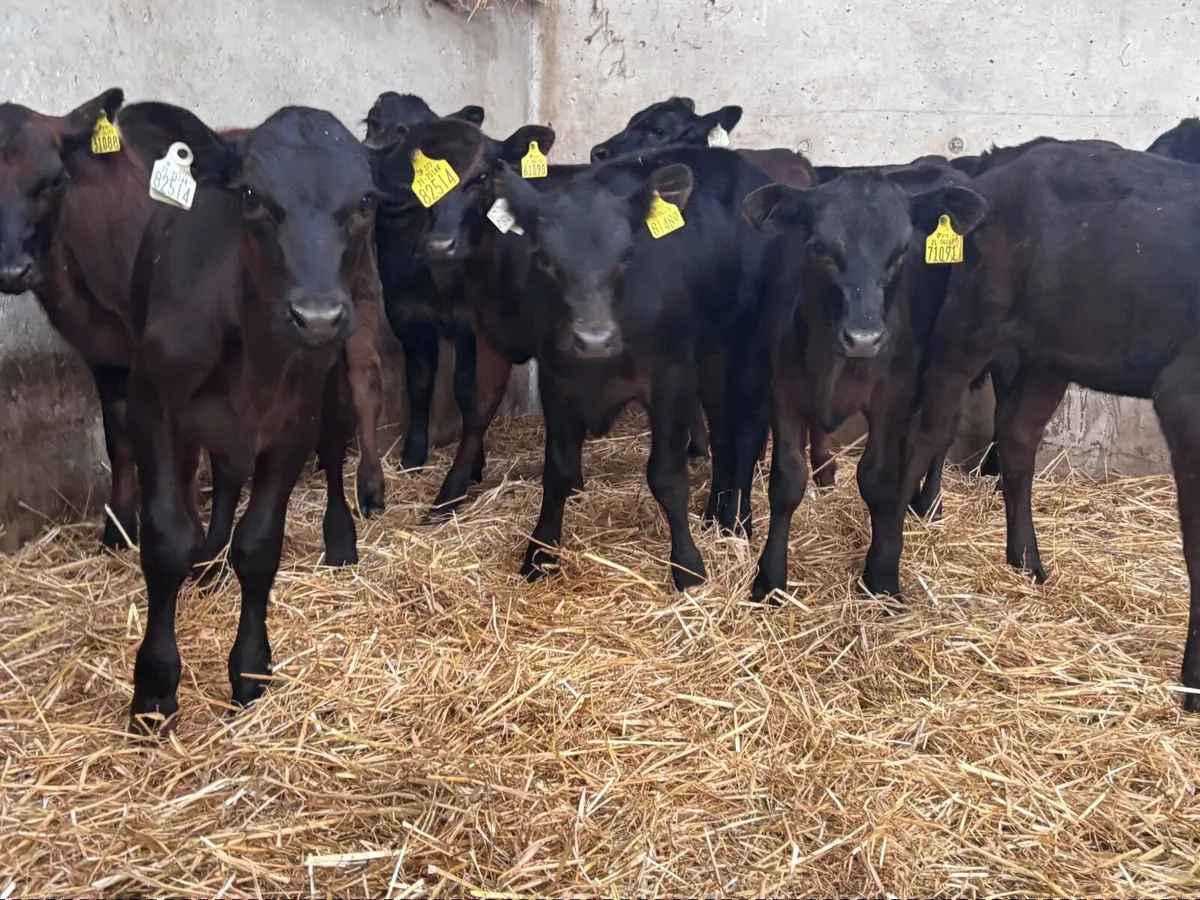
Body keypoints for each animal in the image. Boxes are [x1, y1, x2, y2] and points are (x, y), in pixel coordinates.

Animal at [116, 100, 377, 730]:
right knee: (223, 475)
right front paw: (154, 688)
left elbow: (259, 546)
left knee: (334, 447)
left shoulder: (294, 421)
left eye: (365, 200)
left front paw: (251, 670)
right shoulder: (153, 403)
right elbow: (167, 539)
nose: (316, 316)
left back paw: (339, 537)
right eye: (252, 196)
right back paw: (208, 559)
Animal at [362, 92, 490, 474]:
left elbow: (465, 388)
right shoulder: (409, 320)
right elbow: (418, 389)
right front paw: (413, 455)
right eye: (372, 123)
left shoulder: (468, 324)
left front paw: (474, 461)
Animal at [741, 166, 987, 602]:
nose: (864, 338)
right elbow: (786, 481)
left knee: (941, 432)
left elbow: (879, 479)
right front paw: (769, 578)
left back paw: (928, 503)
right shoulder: (781, 391)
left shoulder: (893, 395)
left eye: (903, 250)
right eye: (819, 247)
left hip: (948, 363)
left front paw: (882, 577)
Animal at [870, 138, 1200, 712]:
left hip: (1052, 350)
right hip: (969, 324)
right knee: (926, 432)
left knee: (1018, 436)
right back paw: (886, 574)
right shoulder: (1185, 396)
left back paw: (1025, 560)